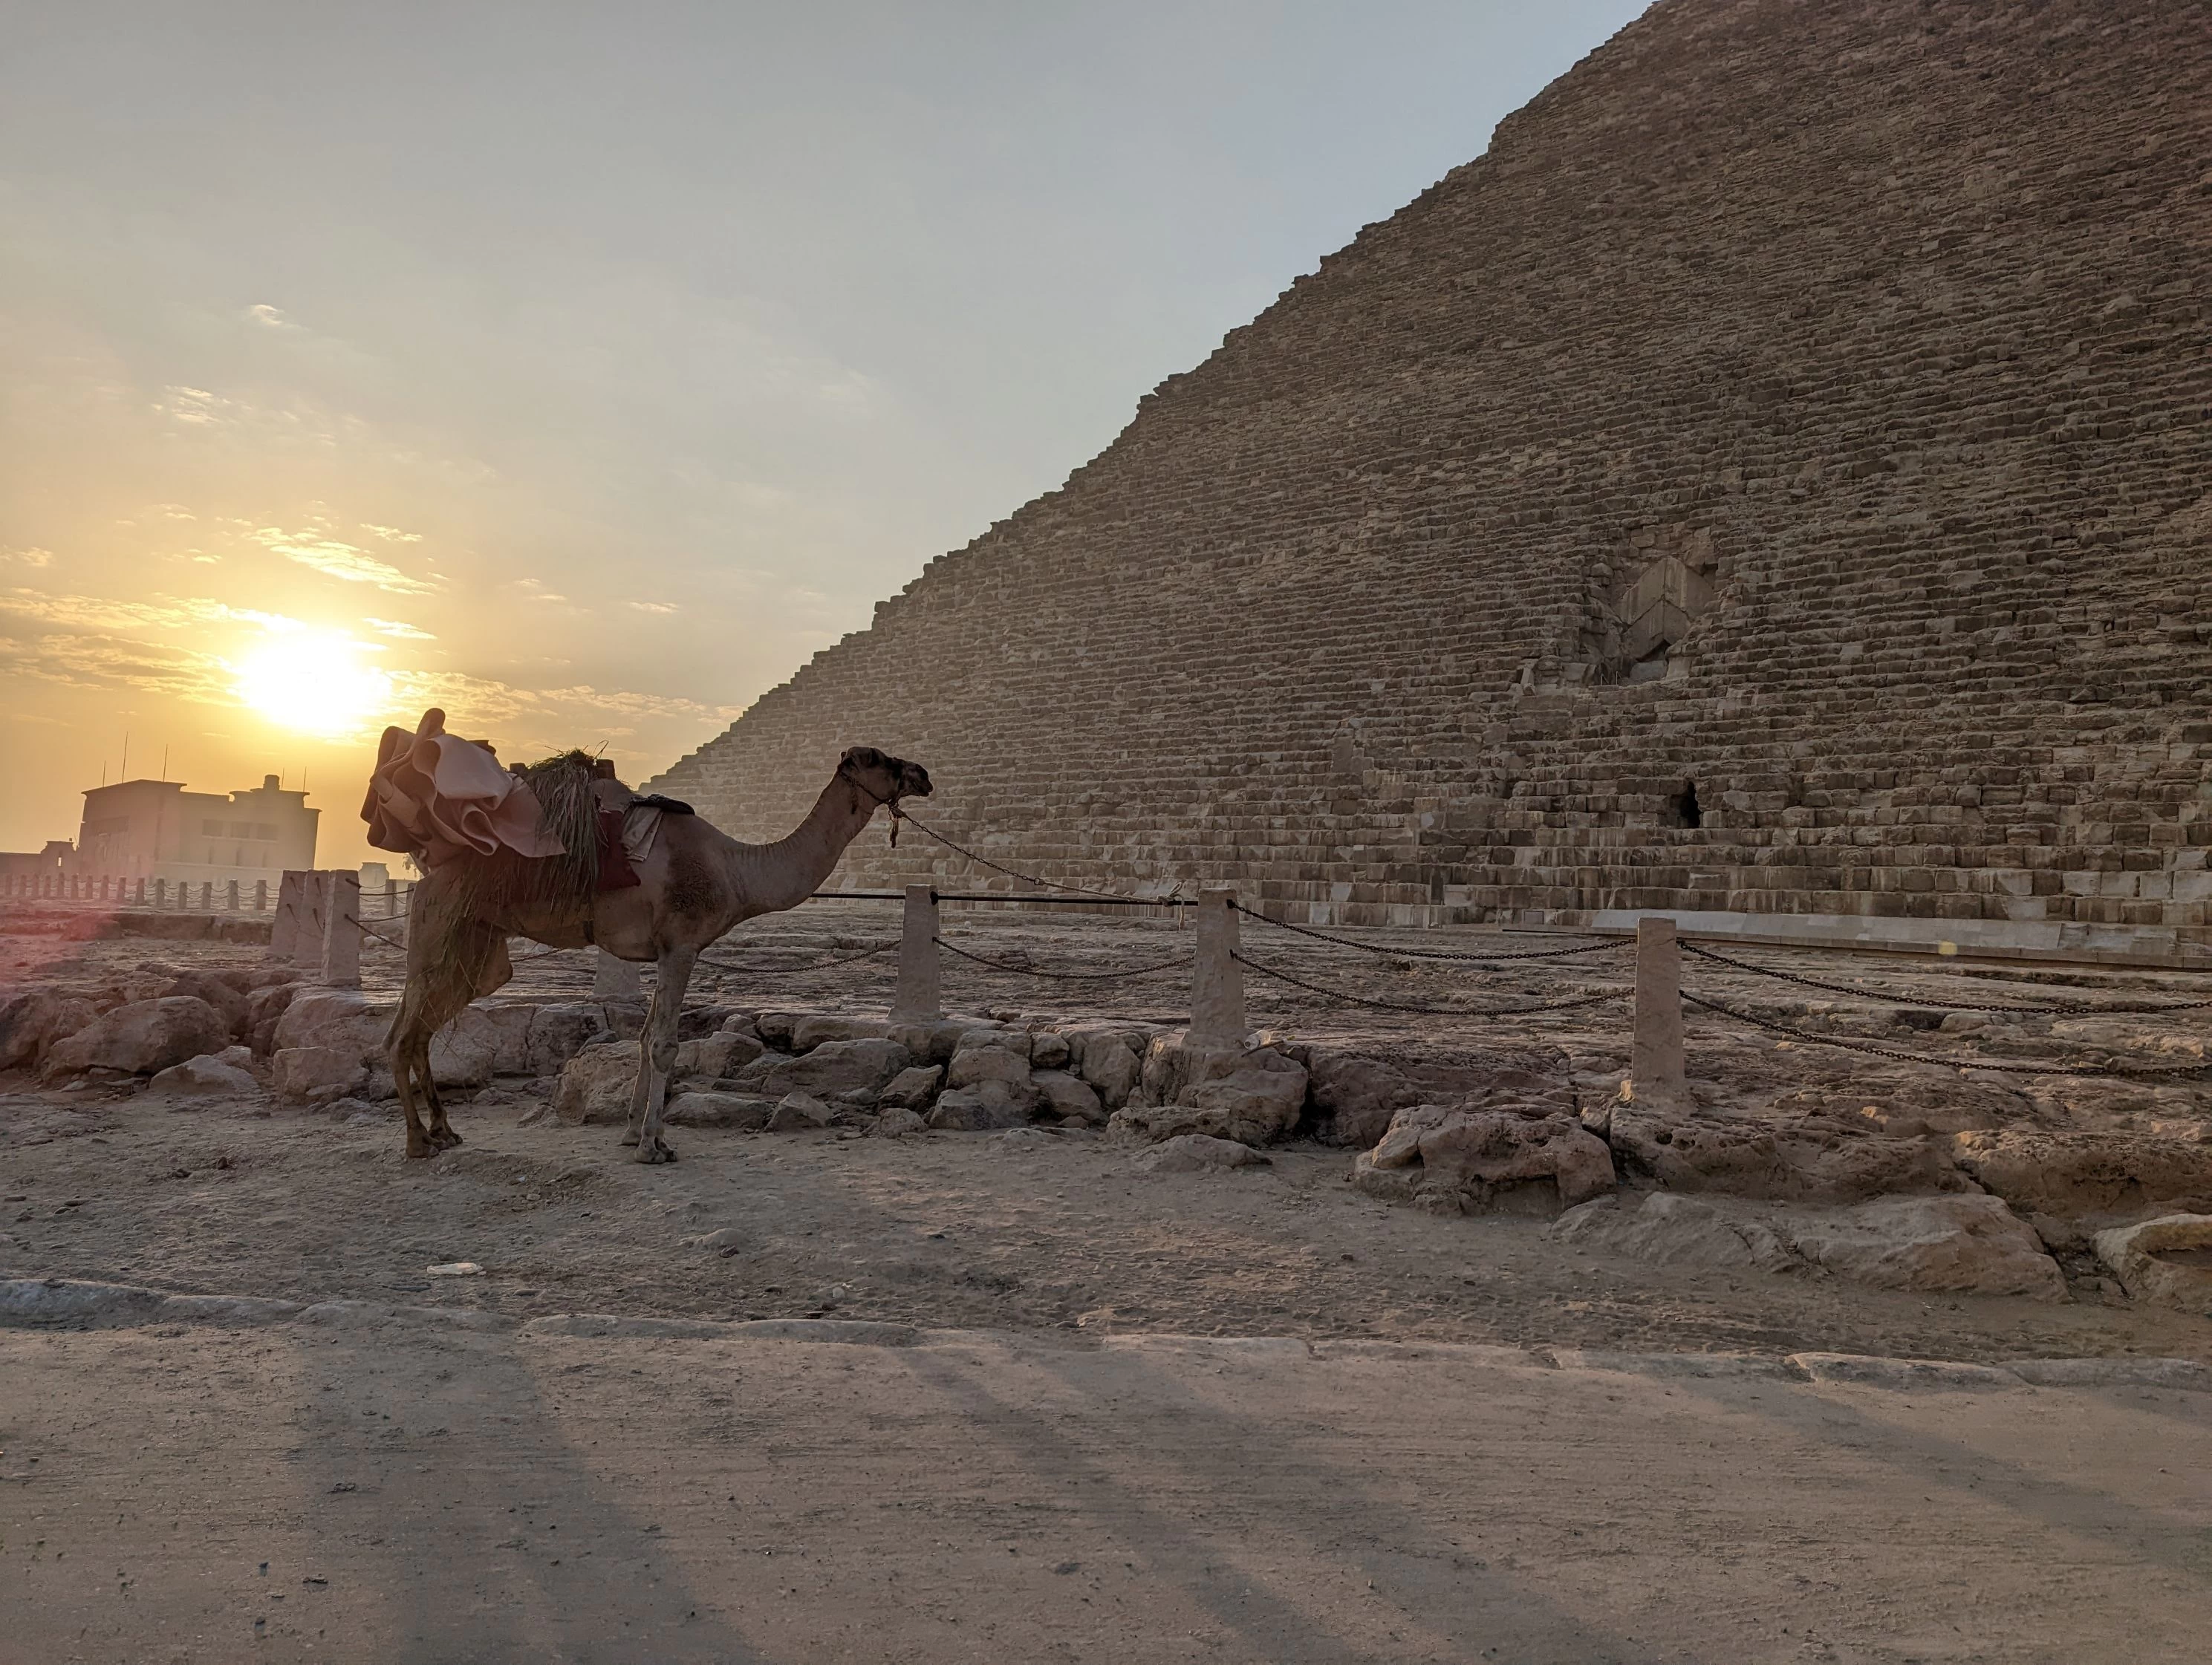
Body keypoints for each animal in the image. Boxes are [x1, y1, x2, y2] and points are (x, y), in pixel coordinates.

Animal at [386, 746, 932, 1163]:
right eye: (879, 759)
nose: (924, 775)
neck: (738, 871)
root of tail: (428, 870)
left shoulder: (666, 950)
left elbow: (646, 1035)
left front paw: (631, 1133)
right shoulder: (682, 944)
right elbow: (664, 1043)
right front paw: (654, 1145)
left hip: (477, 947)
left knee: (421, 1028)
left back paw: (444, 1132)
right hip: (439, 929)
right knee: (403, 1034)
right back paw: (417, 1141)